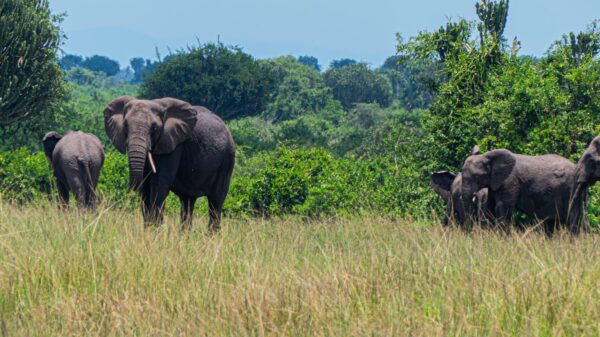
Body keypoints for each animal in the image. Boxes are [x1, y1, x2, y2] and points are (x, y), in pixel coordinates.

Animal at [103, 96, 234, 230]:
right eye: (125, 125)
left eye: (154, 128)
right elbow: (145, 188)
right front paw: (148, 230)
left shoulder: (172, 145)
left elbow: (159, 184)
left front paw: (155, 231)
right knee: (187, 201)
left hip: (226, 161)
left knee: (216, 202)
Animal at [458, 146, 588, 235]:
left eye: (477, 177)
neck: (487, 157)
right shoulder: (495, 183)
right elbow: (490, 208)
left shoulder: (510, 182)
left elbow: (502, 207)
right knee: (552, 222)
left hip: (571, 189)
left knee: (572, 218)